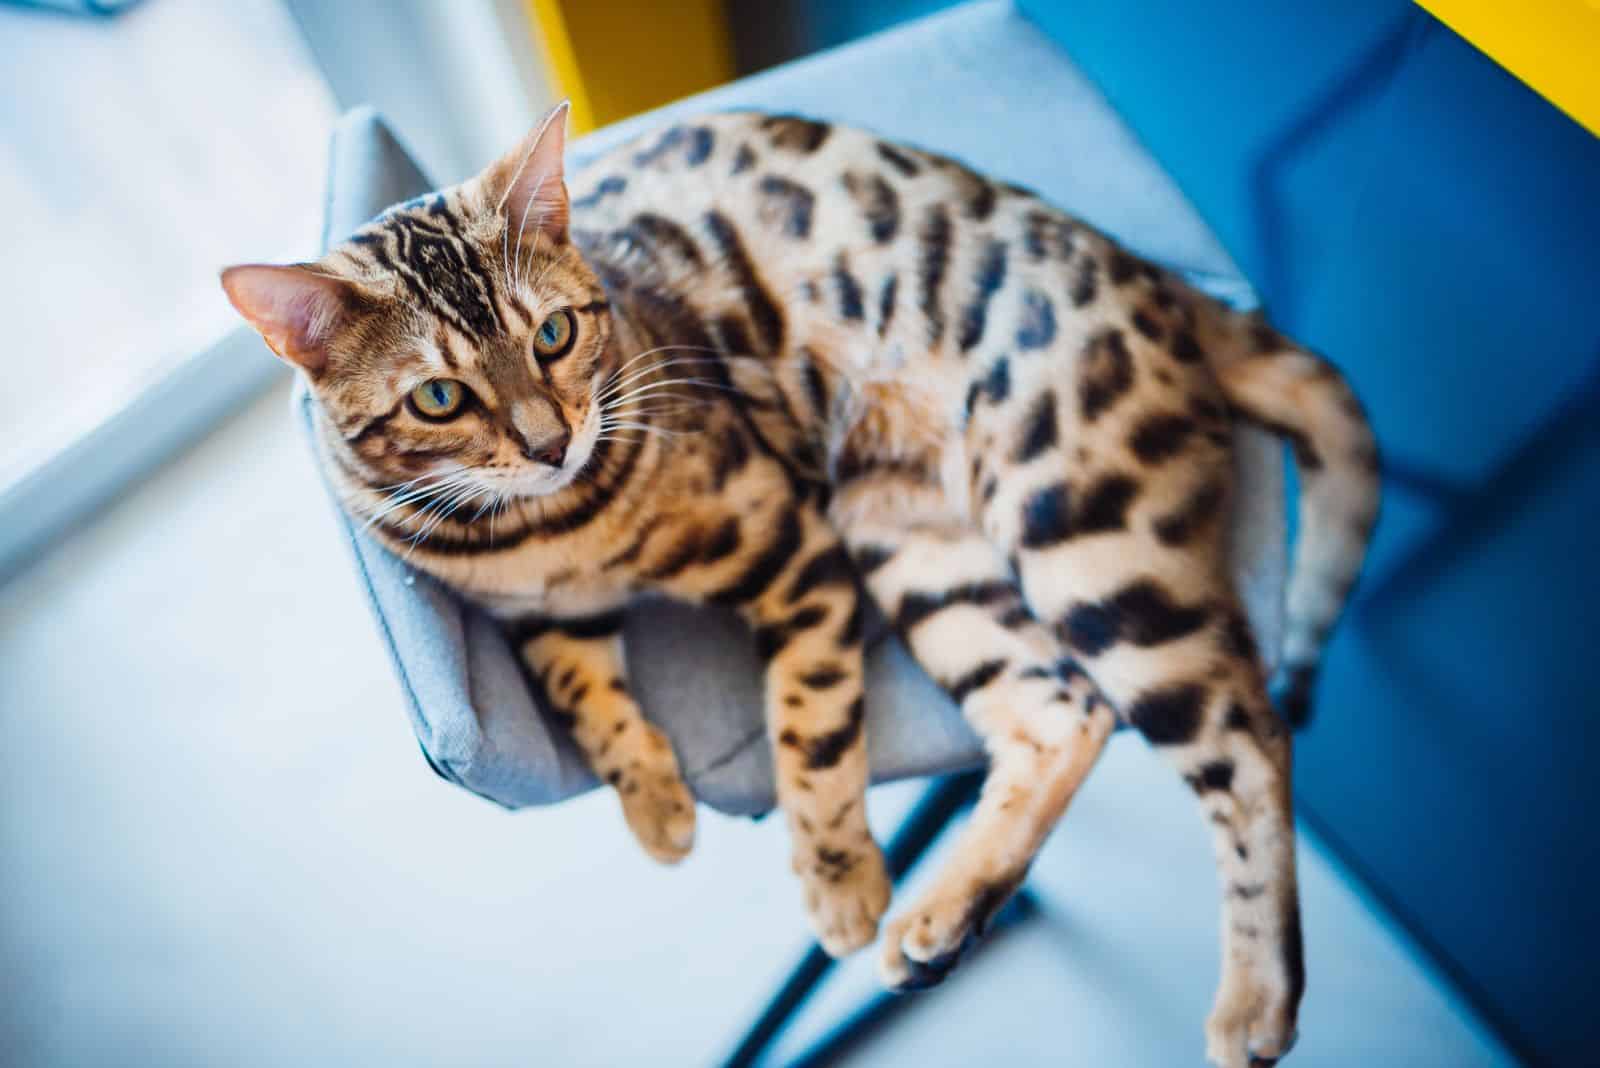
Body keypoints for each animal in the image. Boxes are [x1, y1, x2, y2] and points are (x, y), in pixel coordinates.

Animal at [222, 102, 1376, 1068]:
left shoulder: (795, 547)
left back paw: (1254, 1002)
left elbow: (809, 727)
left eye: (554, 333)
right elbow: (586, 694)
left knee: (1243, 734)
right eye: (438, 397)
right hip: (910, 541)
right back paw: (941, 919)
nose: (553, 443)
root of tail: (1154, 275)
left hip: (1076, 524)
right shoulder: (546, 619)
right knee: (1063, 710)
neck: (546, 535)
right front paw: (656, 805)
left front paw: (838, 880)